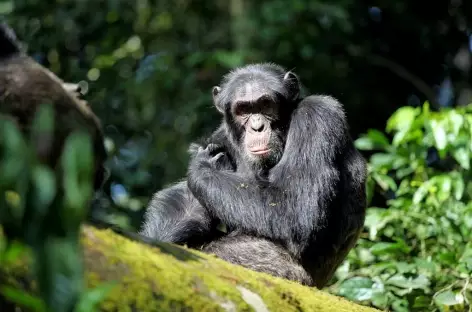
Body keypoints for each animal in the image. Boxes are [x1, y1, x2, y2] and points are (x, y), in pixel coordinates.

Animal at [141, 62, 368, 288]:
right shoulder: (221, 135)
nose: (257, 127)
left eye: (265, 104)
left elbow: (294, 207)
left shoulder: (316, 116)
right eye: (243, 109)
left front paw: (203, 167)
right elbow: (188, 202)